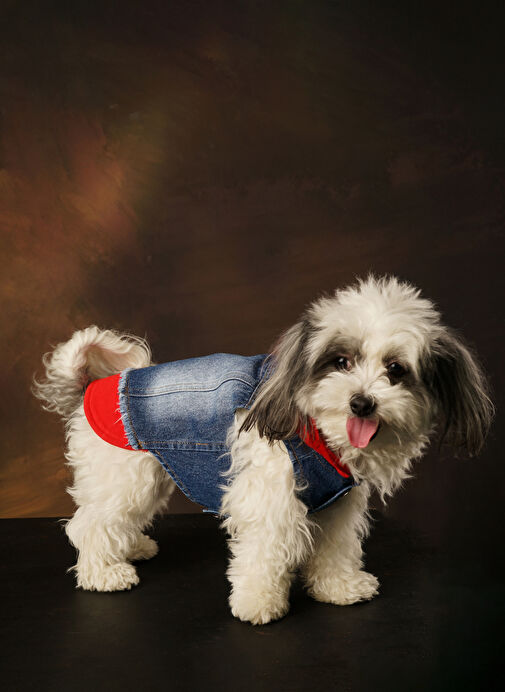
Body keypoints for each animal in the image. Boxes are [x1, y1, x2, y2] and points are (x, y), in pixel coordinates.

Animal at [33, 275, 493, 624]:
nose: (362, 403)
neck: (319, 431)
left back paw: (130, 548)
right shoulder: (269, 494)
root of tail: (94, 385)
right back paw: (103, 572)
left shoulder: (337, 499)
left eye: (396, 370)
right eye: (341, 361)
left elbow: (336, 545)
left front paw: (338, 586)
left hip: (152, 473)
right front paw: (258, 602)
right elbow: (264, 549)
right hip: (127, 477)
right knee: (91, 523)